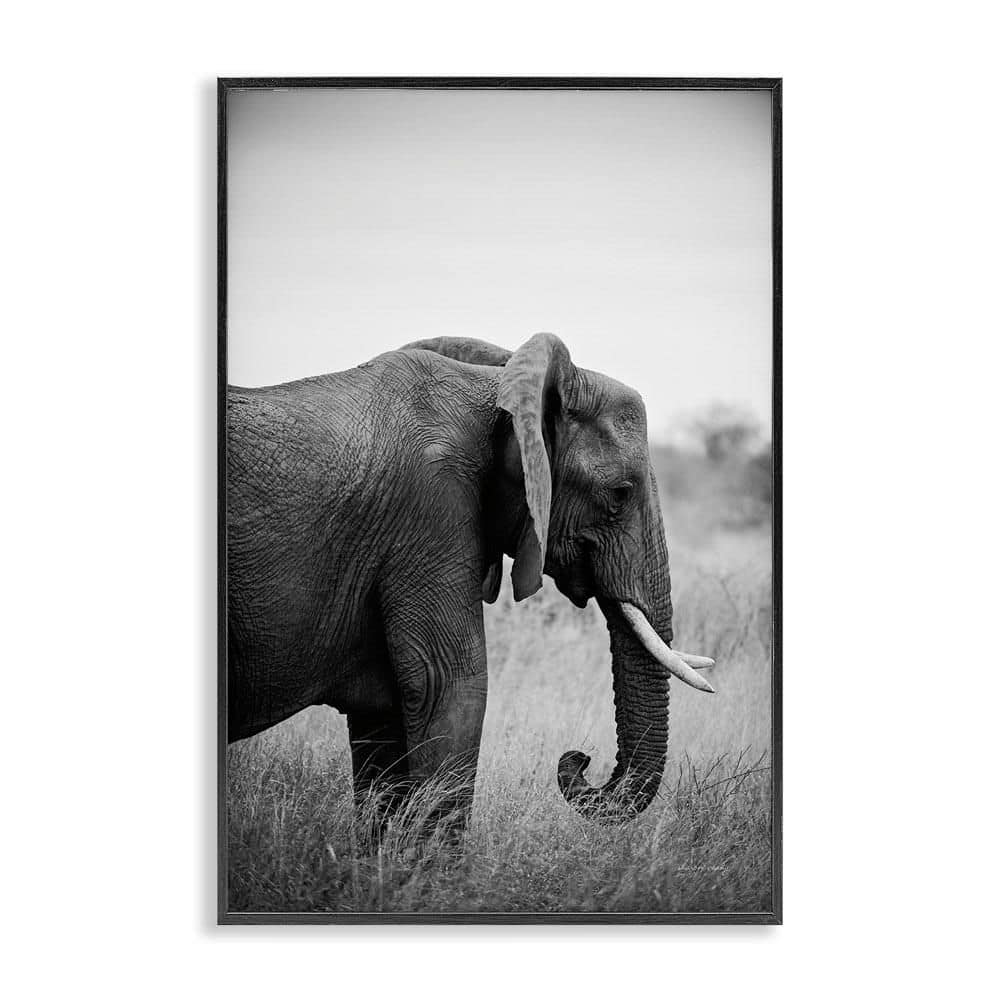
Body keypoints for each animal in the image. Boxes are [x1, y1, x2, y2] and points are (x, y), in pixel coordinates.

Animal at [226, 333, 715, 832]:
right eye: (619, 494)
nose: (579, 759)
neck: (496, 393)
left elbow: (384, 718)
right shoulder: (429, 512)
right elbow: (449, 686)